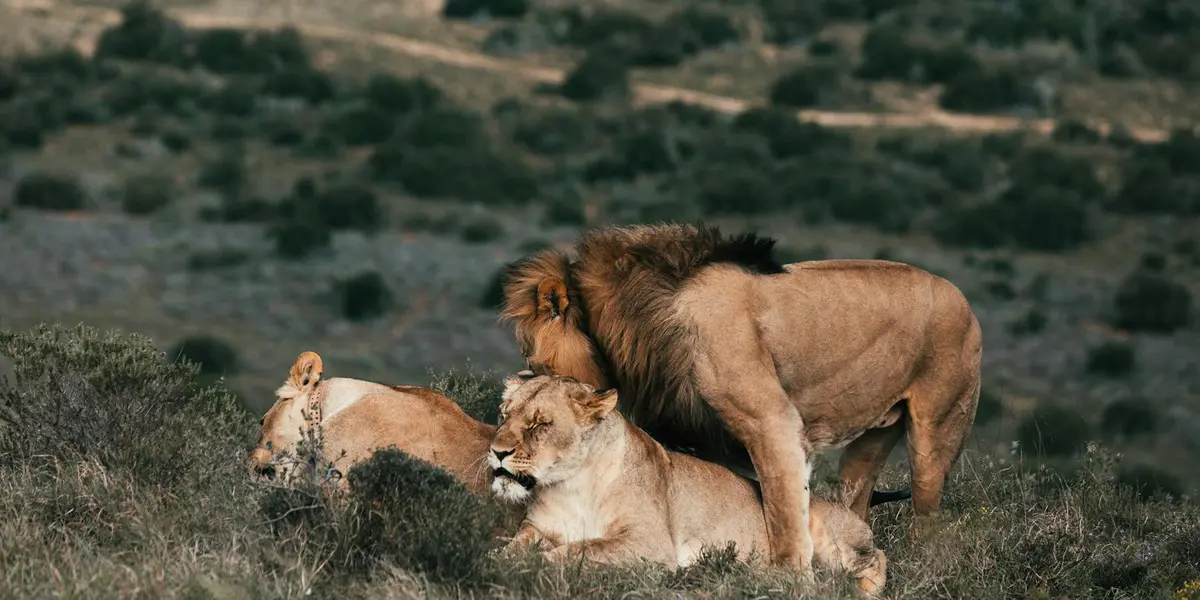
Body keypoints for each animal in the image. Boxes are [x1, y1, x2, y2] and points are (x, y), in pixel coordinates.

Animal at [489, 373, 889, 597]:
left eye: (540, 424)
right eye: (504, 415)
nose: (496, 452)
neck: (569, 483)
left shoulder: (649, 543)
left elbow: (576, 551)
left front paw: (530, 566)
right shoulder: (536, 526)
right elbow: (513, 548)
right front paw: (502, 560)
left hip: (823, 531)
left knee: (875, 557)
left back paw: (860, 591)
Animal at [500, 222, 982, 574]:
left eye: (533, 359)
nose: (519, 378)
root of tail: (963, 299)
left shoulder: (774, 423)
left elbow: (783, 514)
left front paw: (786, 579)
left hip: (937, 435)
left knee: (926, 521)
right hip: (867, 447)